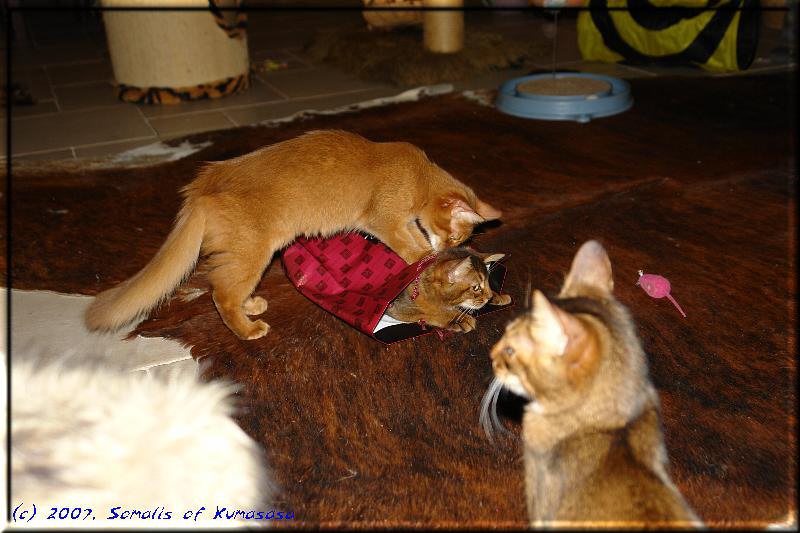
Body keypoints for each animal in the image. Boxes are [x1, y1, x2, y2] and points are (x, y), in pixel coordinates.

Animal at [86, 129, 500, 338]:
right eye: (454, 239)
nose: (452, 248)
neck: (417, 174)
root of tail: (203, 185)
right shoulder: (387, 222)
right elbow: (411, 248)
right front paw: (428, 262)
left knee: (224, 286)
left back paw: (251, 306)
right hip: (253, 252)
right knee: (220, 293)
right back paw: (247, 329)